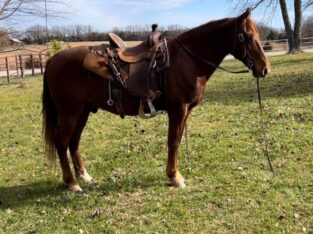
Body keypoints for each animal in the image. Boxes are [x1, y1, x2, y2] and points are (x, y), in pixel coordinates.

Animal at [42, 9, 270, 192]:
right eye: (247, 36)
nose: (264, 69)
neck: (187, 59)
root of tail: (53, 59)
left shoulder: (185, 110)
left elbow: (177, 139)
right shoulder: (178, 108)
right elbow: (174, 141)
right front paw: (174, 177)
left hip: (83, 111)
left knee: (74, 142)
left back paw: (84, 176)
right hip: (70, 112)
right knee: (62, 141)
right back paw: (71, 183)